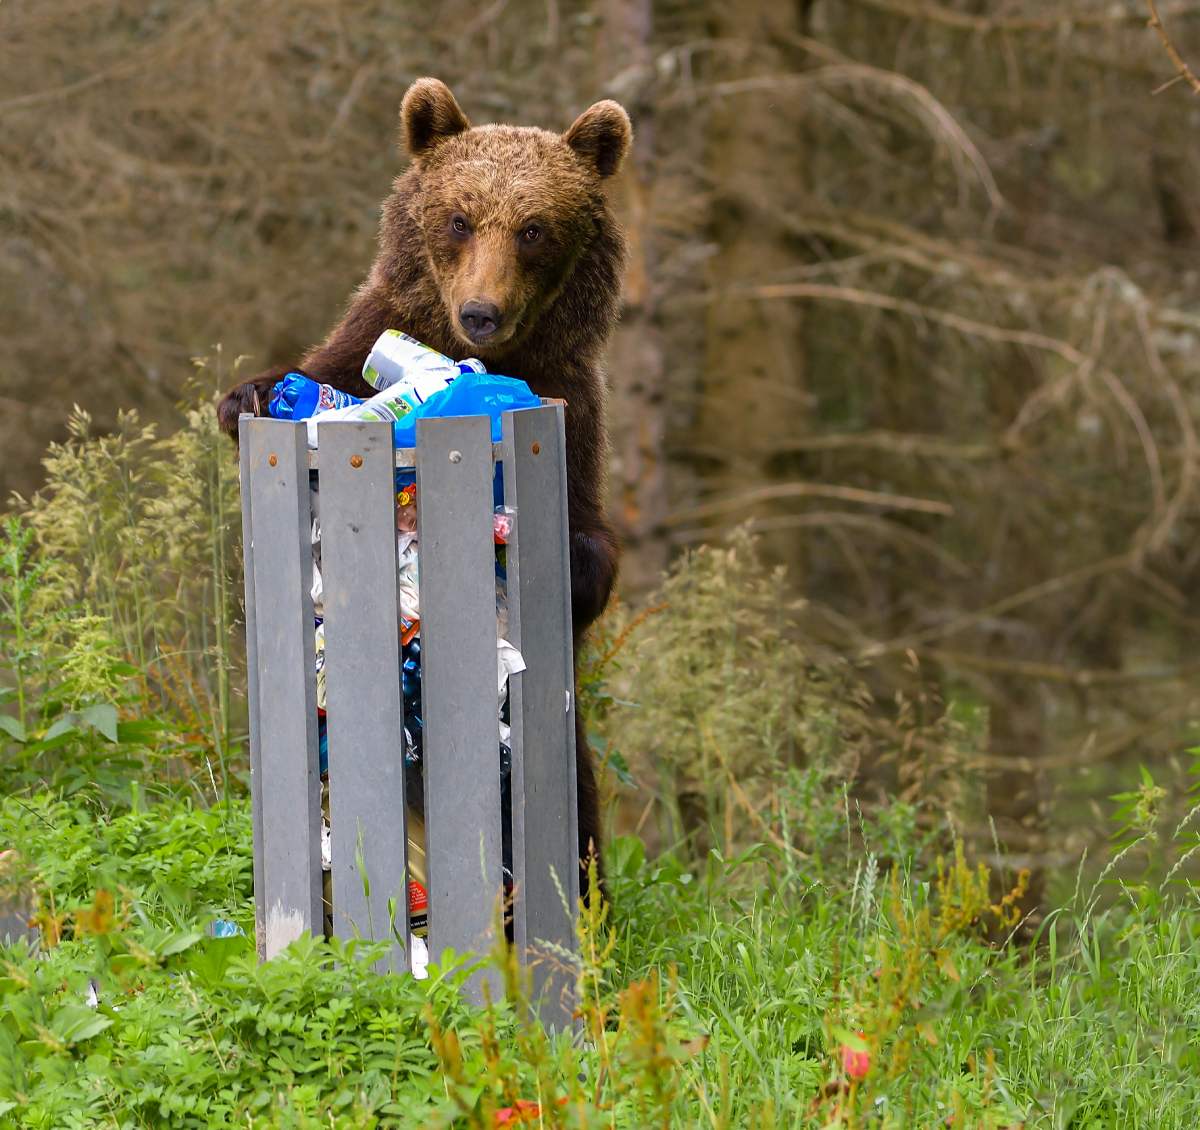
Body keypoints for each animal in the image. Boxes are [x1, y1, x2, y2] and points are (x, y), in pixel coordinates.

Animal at [217, 77, 633, 892]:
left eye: (535, 228)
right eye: (459, 218)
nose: (481, 313)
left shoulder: (573, 413)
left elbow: (592, 547)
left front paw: (559, 554)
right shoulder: (358, 348)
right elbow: (306, 377)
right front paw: (250, 393)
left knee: (573, 813)